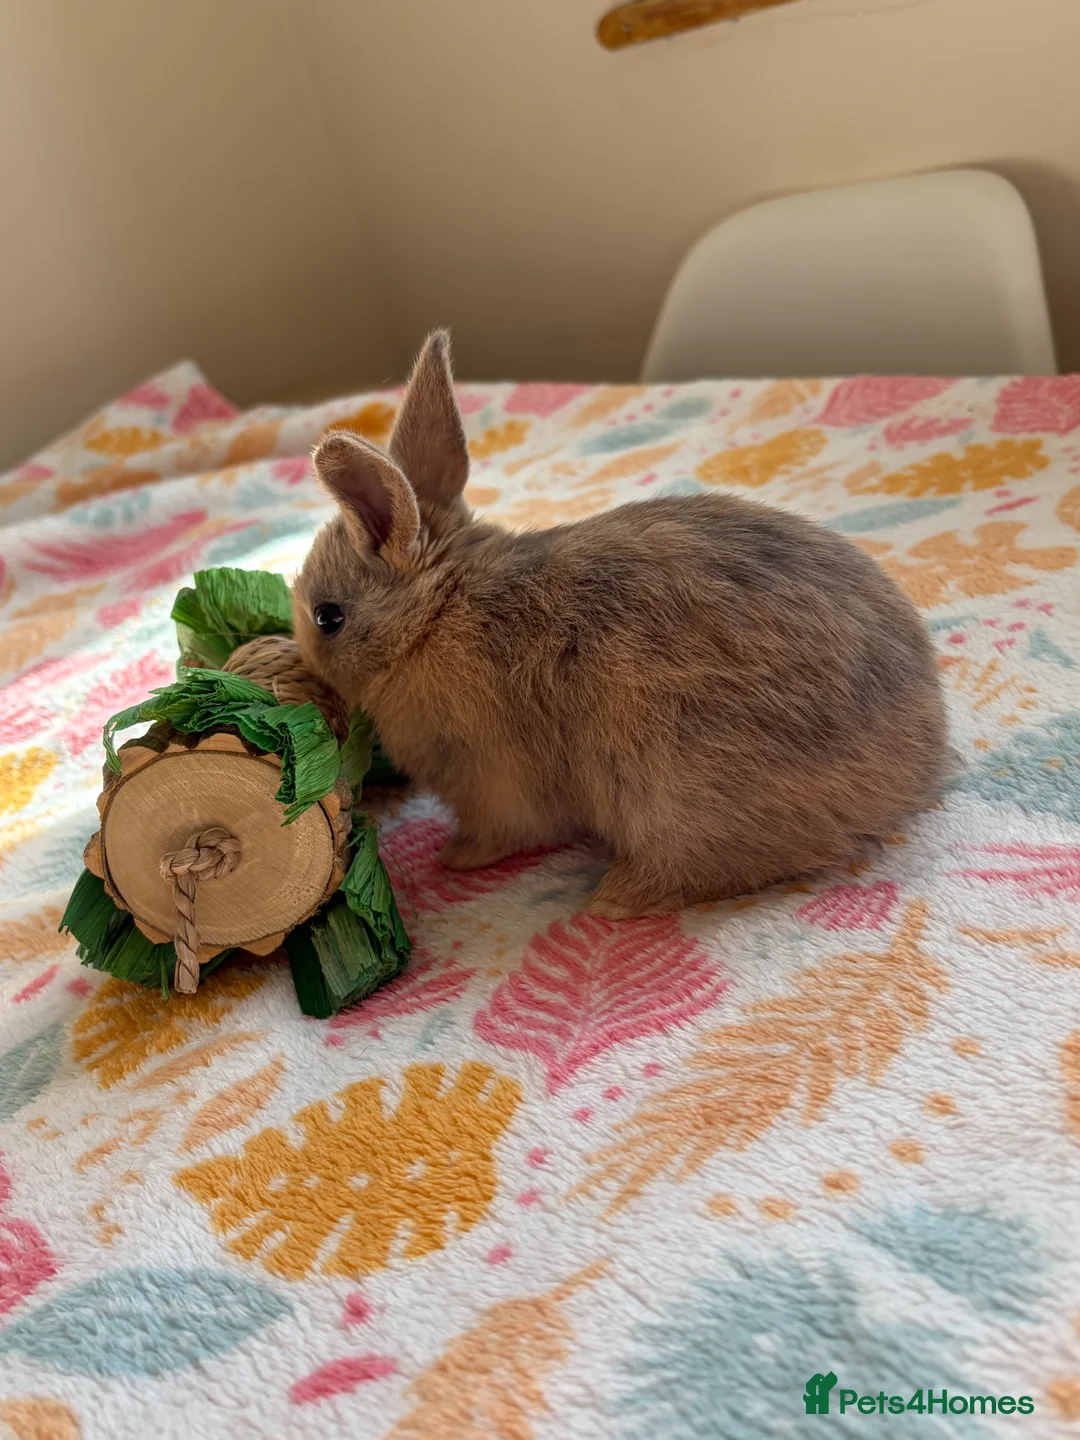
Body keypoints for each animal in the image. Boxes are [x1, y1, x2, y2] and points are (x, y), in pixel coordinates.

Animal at [293, 331, 948, 919]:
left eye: (328, 617)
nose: (305, 662)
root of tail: (917, 769)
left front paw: (456, 858)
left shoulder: (492, 780)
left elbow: (505, 830)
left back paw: (615, 899)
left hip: (676, 796)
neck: (434, 614)